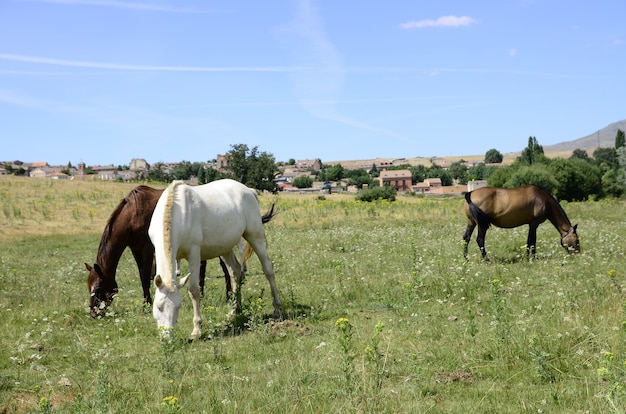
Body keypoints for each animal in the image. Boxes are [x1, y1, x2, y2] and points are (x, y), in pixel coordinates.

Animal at [84, 184, 233, 316]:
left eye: (98, 289)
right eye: (88, 286)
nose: (93, 314)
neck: (133, 214)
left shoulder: (148, 248)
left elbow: (145, 276)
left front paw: (147, 305)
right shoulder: (135, 249)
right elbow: (141, 275)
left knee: (225, 267)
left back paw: (229, 295)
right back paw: (202, 294)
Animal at [149, 179, 280, 340]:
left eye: (178, 306)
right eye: (159, 307)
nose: (167, 338)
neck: (177, 212)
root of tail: (249, 191)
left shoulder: (194, 253)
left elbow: (194, 290)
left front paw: (197, 329)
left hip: (255, 236)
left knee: (268, 268)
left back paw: (277, 309)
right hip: (225, 248)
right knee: (236, 272)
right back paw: (234, 311)